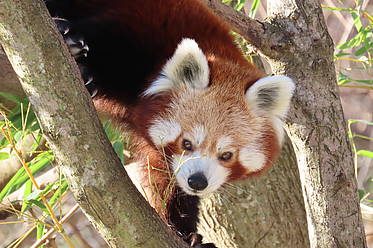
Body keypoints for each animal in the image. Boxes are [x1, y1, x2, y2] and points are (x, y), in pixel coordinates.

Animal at [46, 0, 294, 246]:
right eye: (187, 143)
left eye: (226, 155)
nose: (197, 181)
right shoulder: (139, 25)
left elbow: (164, 178)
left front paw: (185, 232)